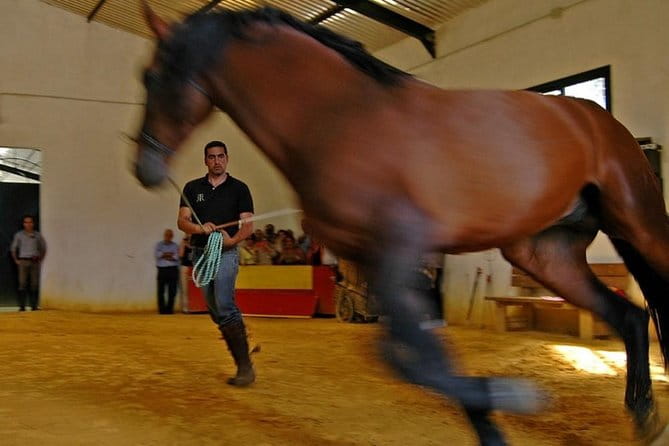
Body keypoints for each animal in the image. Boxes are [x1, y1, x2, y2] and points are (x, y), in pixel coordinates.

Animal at [134, 2, 669, 444]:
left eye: (153, 76)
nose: (144, 168)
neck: (338, 118)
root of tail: (599, 120)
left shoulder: (398, 248)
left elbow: (411, 357)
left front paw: (515, 398)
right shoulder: (369, 258)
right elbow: (413, 356)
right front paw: (491, 421)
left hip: (640, 226)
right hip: (546, 254)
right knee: (629, 315)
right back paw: (642, 412)